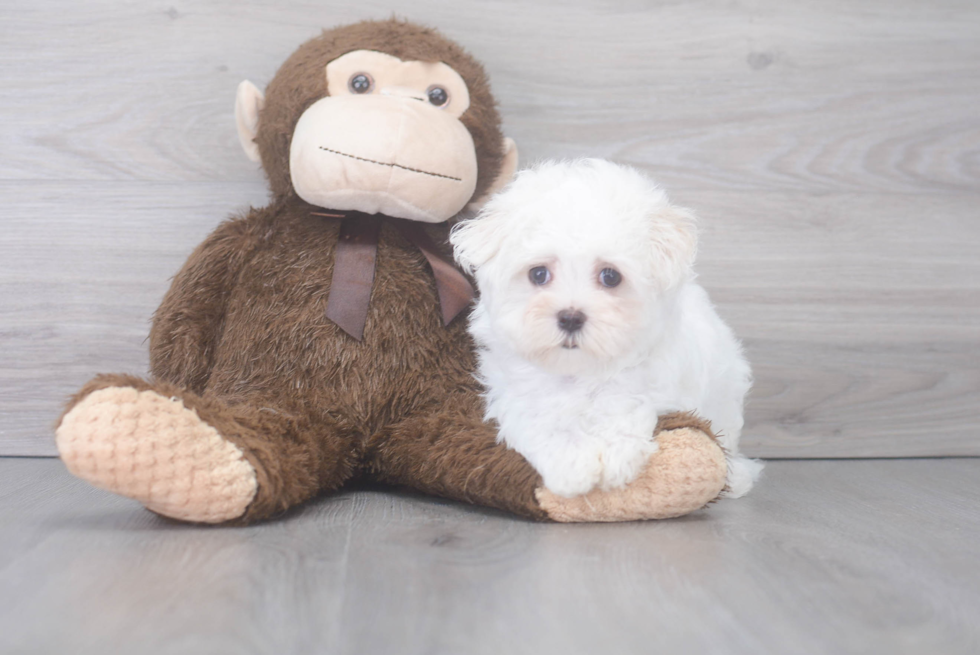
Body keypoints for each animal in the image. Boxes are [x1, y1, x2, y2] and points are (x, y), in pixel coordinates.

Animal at [454, 159, 764, 498]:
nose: (570, 317)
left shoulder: (650, 380)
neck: (578, 370)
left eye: (610, 276)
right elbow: (540, 421)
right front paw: (572, 467)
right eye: (538, 274)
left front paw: (616, 456)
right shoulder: (516, 392)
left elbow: (624, 401)